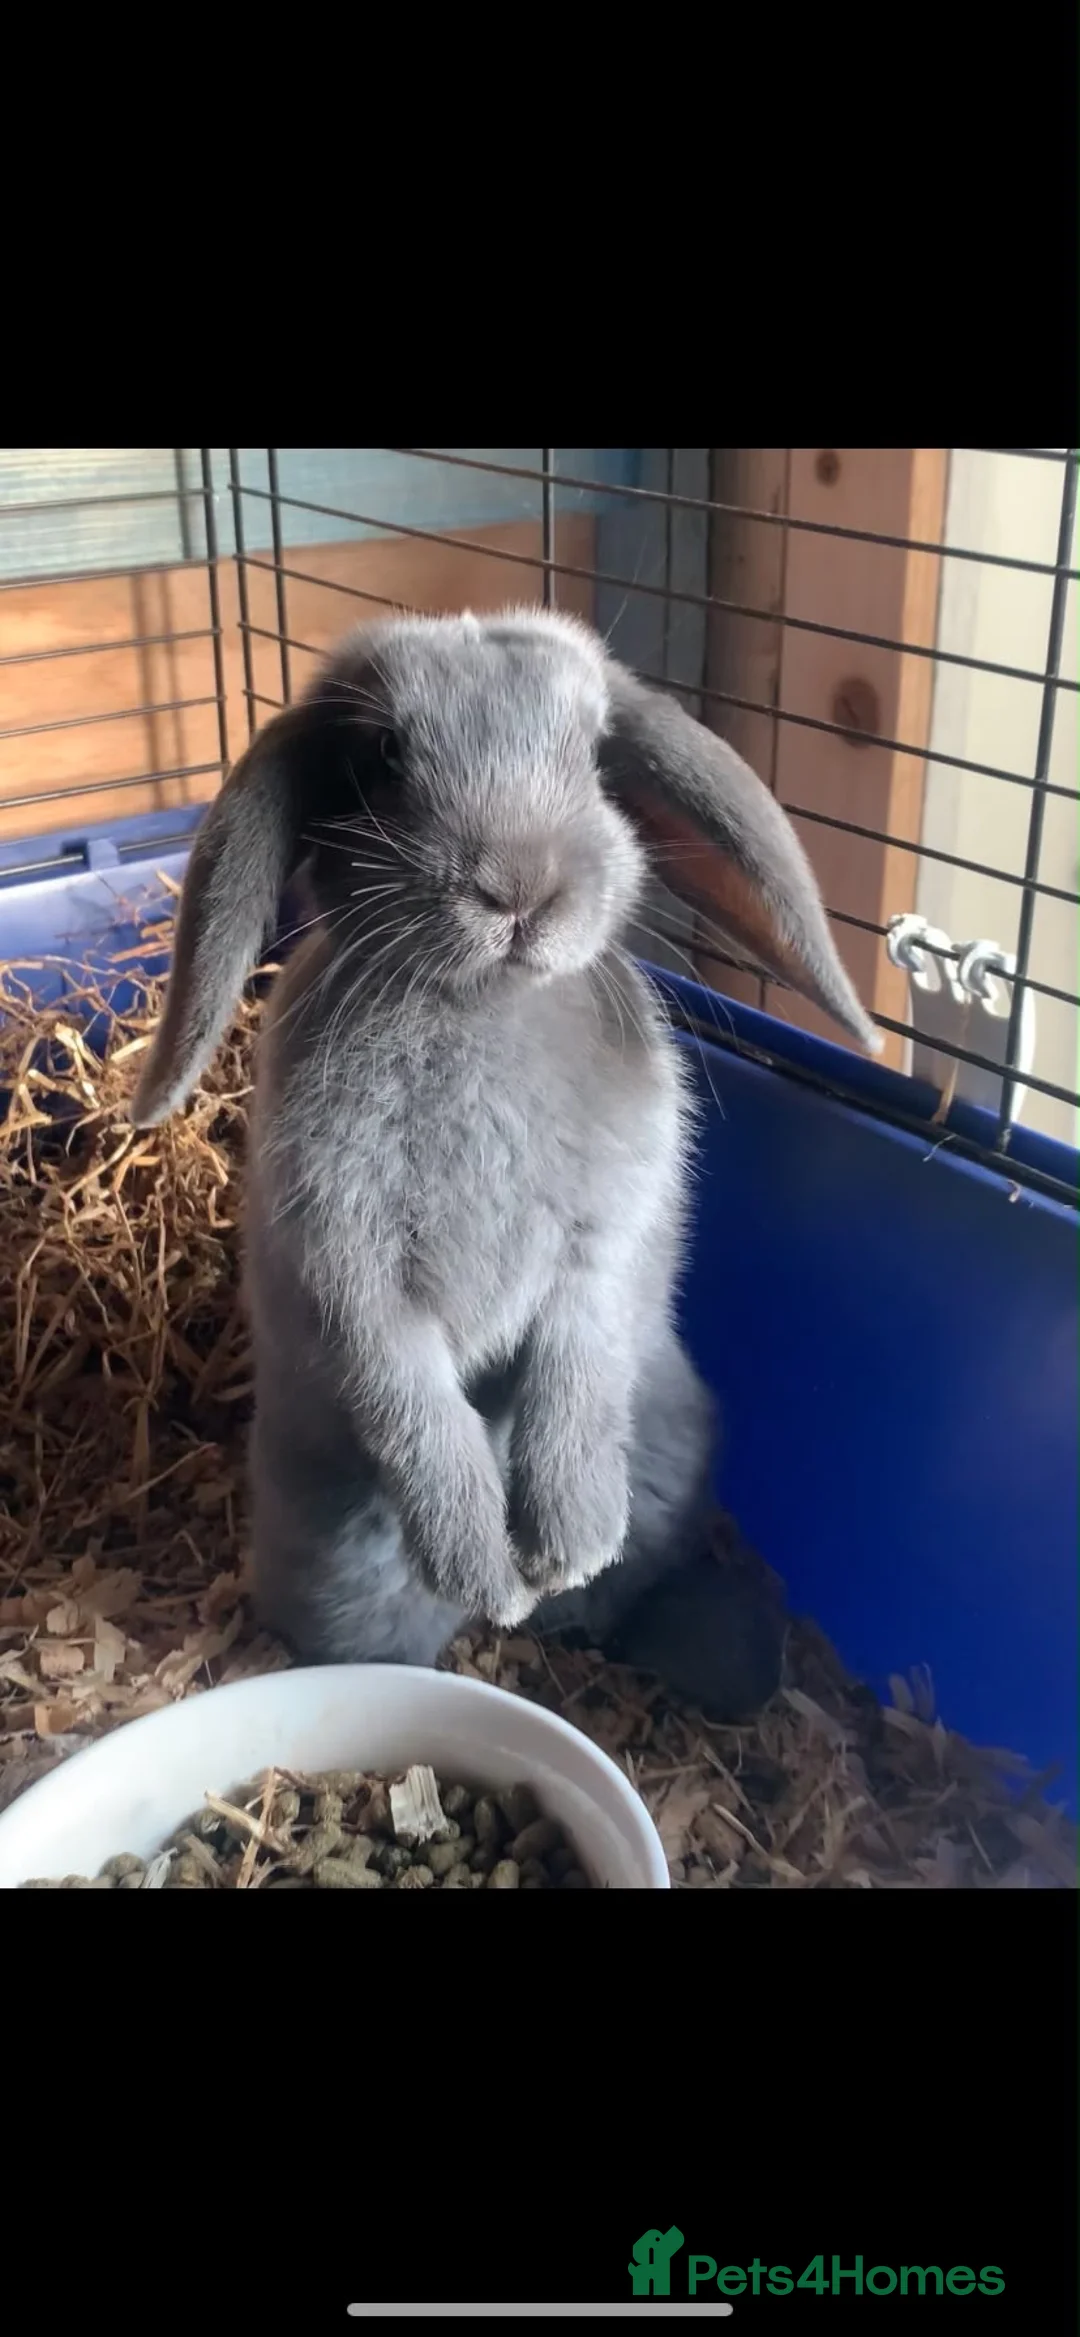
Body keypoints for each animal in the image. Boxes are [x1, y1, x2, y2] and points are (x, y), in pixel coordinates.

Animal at [131, 607, 878, 1704]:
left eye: (596, 758)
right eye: (384, 757)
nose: (520, 887)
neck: (482, 1005)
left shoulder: (602, 1248)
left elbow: (576, 1366)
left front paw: (565, 1542)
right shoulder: (348, 1268)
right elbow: (409, 1398)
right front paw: (488, 1564)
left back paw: (593, 1606)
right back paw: (491, 1608)